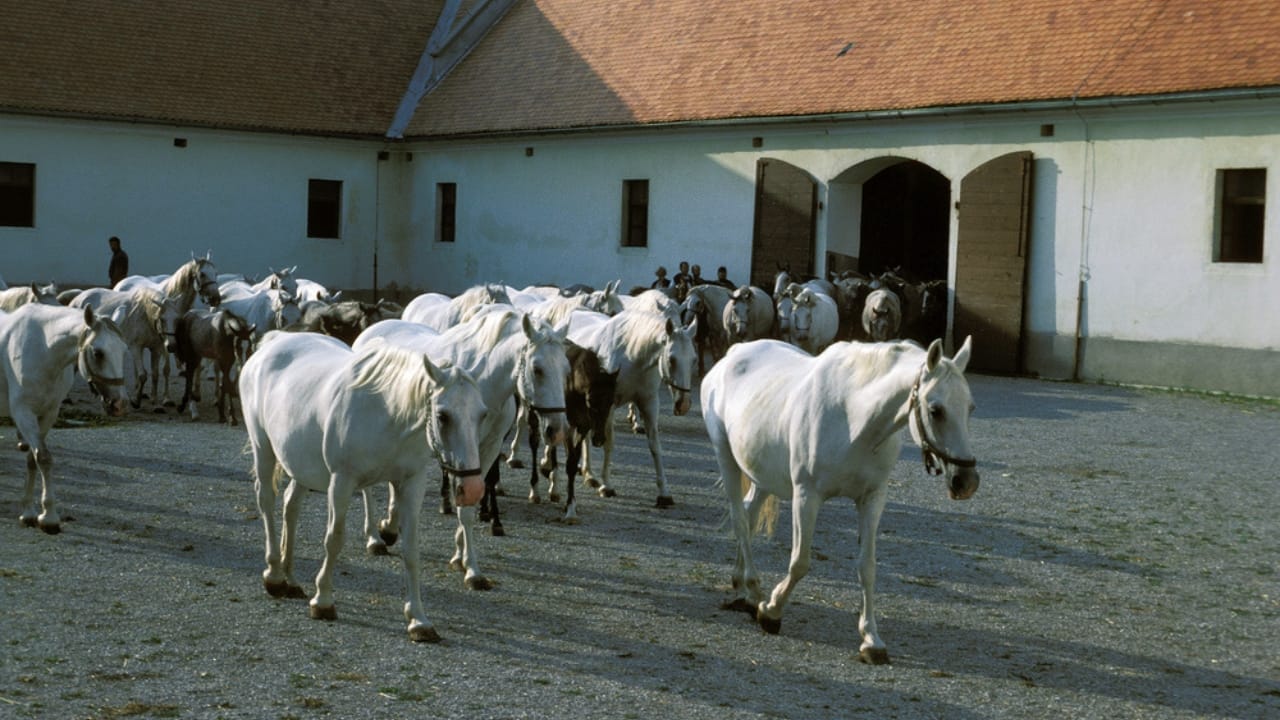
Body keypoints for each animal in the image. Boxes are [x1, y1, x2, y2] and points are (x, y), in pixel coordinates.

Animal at [1, 304, 131, 533]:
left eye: (123, 350)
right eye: (98, 353)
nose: (119, 404)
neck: (42, 349)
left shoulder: (48, 413)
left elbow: (33, 459)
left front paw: (29, 512)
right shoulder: (23, 412)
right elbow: (44, 458)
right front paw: (49, 517)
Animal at [239, 332, 488, 642]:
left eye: (482, 415)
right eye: (443, 416)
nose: (474, 487)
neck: (388, 414)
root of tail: (273, 342)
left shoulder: (411, 484)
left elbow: (411, 551)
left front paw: (418, 619)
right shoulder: (342, 482)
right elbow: (334, 539)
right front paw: (323, 601)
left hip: (301, 466)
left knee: (290, 506)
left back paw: (291, 579)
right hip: (263, 449)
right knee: (267, 501)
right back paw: (274, 575)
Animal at [566, 309, 697, 506]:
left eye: (693, 360)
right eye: (671, 359)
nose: (684, 404)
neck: (632, 355)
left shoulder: (649, 403)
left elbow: (655, 446)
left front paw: (664, 493)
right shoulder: (608, 406)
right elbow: (609, 443)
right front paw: (606, 486)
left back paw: (588, 473)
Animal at [701, 336, 978, 664]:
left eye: (970, 407)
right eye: (936, 410)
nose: (966, 482)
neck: (853, 417)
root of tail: (733, 354)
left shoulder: (872, 499)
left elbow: (867, 567)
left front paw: (871, 640)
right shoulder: (806, 496)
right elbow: (800, 562)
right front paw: (771, 612)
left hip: (762, 474)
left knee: (749, 512)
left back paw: (742, 584)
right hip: (726, 458)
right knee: (740, 520)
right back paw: (754, 589)